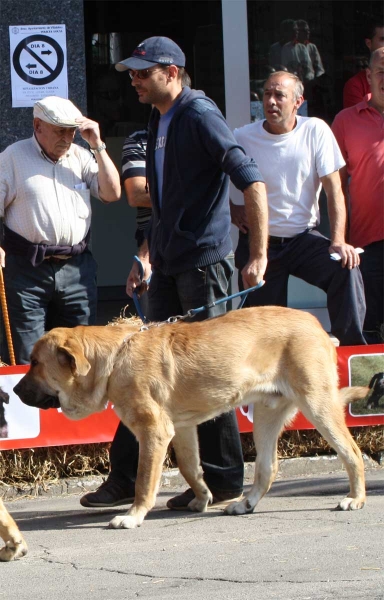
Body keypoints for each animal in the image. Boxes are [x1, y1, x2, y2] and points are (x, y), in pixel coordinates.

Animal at [14, 310, 368, 528]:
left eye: (35, 362)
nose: (14, 389)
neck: (115, 357)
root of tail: (318, 325)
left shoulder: (154, 431)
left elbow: (144, 480)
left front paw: (133, 516)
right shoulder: (181, 429)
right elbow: (188, 467)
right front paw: (202, 497)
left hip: (318, 405)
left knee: (352, 453)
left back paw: (355, 498)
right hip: (267, 415)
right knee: (267, 468)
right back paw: (245, 504)